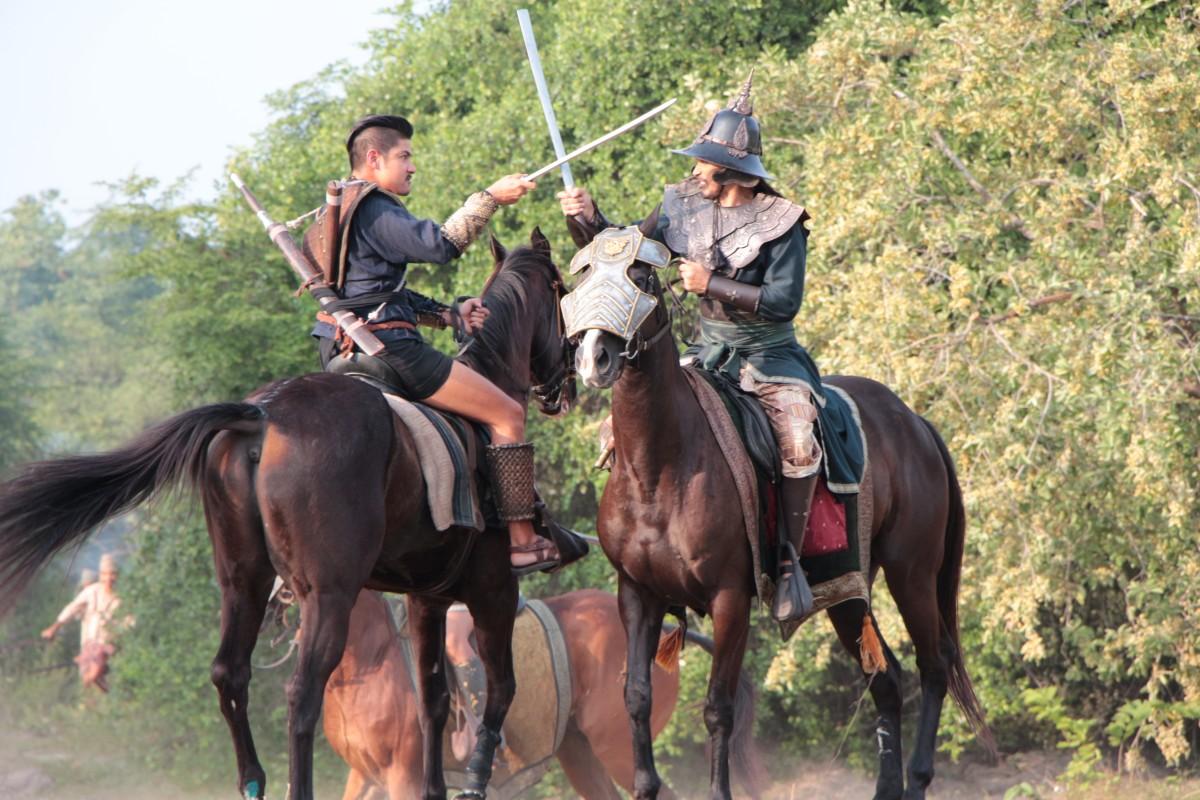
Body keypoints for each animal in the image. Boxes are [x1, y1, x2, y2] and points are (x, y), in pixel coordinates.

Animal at [0, 231, 576, 800]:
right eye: (561, 289)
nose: (566, 383)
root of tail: (261, 414)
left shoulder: (426, 598)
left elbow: (434, 698)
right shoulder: (494, 589)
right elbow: (500, 689)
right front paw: (476, 779)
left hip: (244, 581)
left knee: (229, 672)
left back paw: (253, 779)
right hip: (330, 594)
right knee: (302, 694)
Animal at [309, 587, 758, 800]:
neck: (371, 654)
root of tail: (666, 631)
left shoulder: (403, 773)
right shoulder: (365, 776)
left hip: (617, 751)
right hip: (580, 752)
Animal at [561, 214, 993, 800]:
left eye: (640, 277)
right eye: (583, 275)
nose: (593, 357)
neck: (659, 467)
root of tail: (915, 423)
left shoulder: (728, 600)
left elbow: (718, 708)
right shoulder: (637, 594)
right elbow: (637, 697)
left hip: (913, 571)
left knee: (934, 664)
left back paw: (920, 778)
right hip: (846, 588)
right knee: (885, 679)